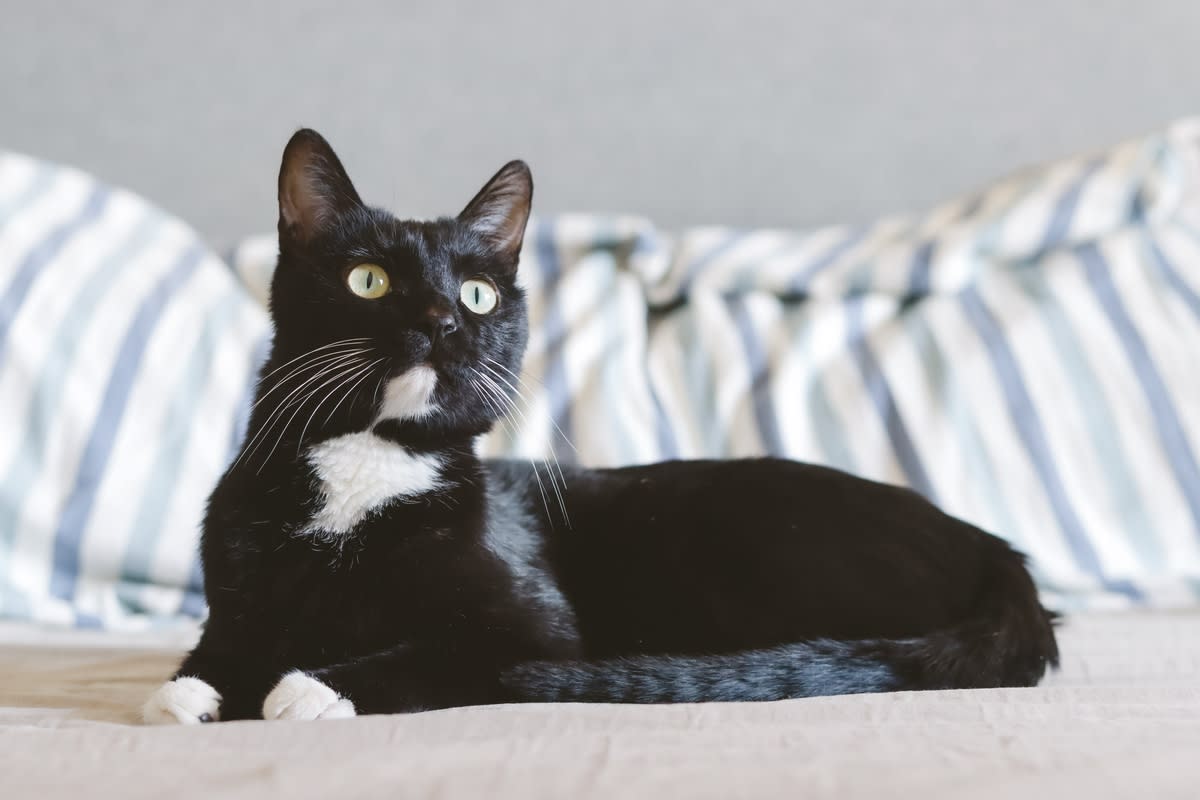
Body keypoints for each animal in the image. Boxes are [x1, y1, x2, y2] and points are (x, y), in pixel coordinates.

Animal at [142, 133, 1060, 724]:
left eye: (477, 292)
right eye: (367, 279)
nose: (443, 319)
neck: (369, 467)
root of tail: (995, 552)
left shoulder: (535, 628)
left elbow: (434, 651)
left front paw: (313, 688)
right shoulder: (236, 596)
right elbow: (216, 649)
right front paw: (192, 690)